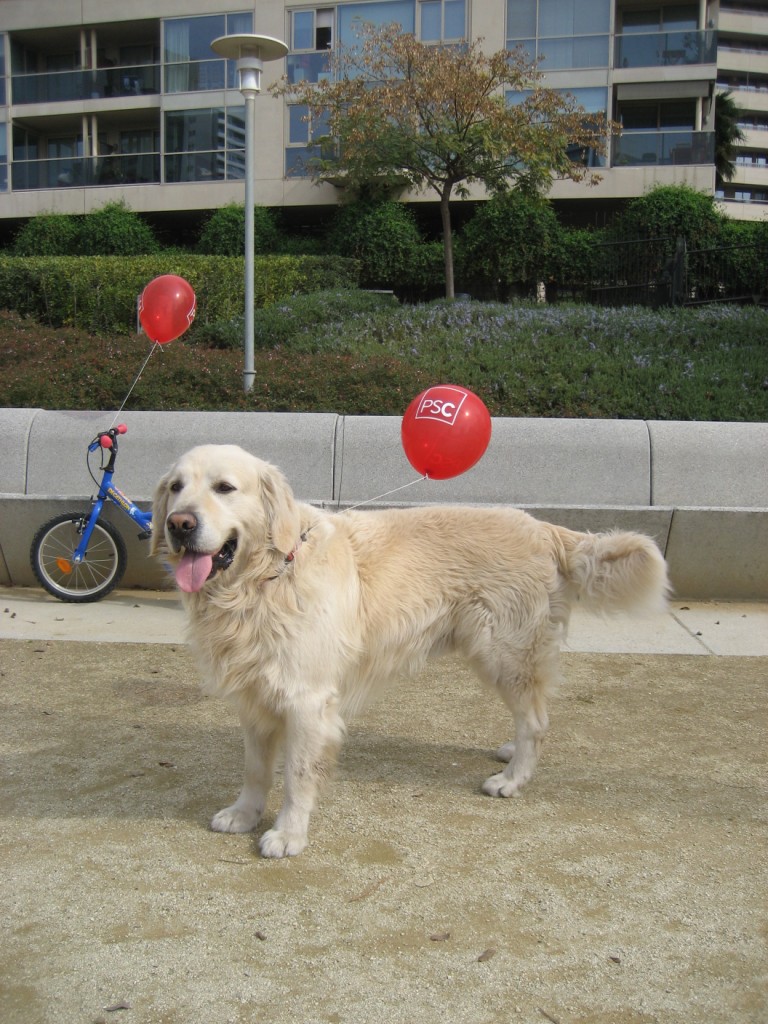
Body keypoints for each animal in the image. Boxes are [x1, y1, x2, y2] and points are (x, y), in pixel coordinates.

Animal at [153, 446, 671, 856]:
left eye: (225, 487)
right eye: (176, 487)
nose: (179, 524)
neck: (263, 580)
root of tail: (545, 528)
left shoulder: (307, 701)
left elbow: (297, 776)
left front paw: (288, 835)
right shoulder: (256, 698)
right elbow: (255, 768)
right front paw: (244, 814)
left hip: (503, 653)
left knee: (537, 721)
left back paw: (512, 780)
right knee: (530, 717)